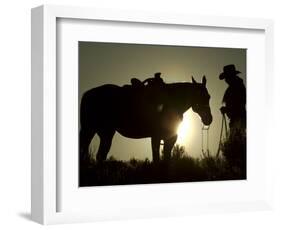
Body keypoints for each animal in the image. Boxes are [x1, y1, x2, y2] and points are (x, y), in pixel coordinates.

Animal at [80, 76, 211, 163]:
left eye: (208, 96)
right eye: (200, 96)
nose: (209, 119)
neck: (170, 102)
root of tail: (88, 93)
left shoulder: (171, 138)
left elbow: (166, 161)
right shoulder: (156, 137)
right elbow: (157, 161)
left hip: (104, 133)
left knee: (99, 155)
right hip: (92, 130)